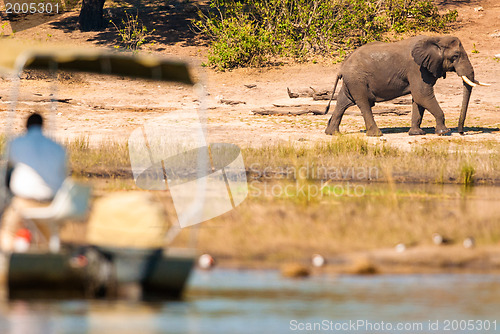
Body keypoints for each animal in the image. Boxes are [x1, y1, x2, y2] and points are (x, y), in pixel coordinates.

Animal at [322, 34, 490, 136]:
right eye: (455, 56)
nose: (462, 132)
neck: (436, 39)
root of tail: (342, 66)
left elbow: (418, 100)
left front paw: (417, 133)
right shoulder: (417, 68)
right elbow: (422, 95)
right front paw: (443, 132)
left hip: (351, 81)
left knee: (343, 102)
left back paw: (332, 133)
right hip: (357, 80)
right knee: (363, 103)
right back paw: (377, 134)